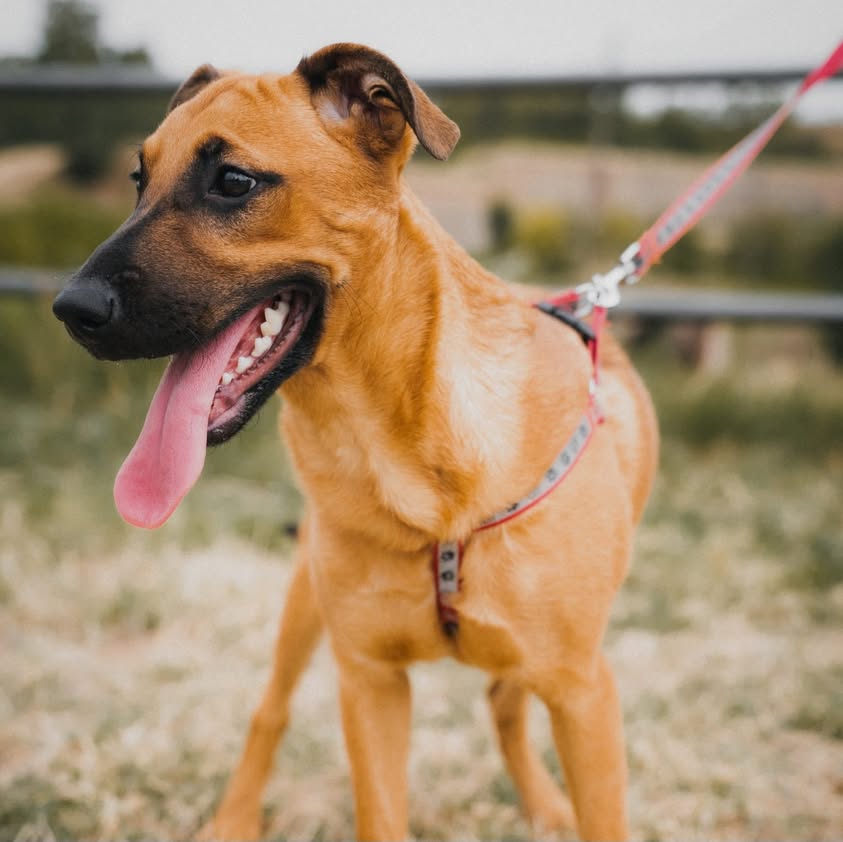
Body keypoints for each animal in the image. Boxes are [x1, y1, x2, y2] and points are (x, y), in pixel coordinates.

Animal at [52, 44, 658, 841]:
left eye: (233, 181)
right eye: (138, 180)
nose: (71, 309)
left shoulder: (582, 692)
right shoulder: (369, 684)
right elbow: (376, 808)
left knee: (502, 701)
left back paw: (543, 806)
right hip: (304, 605)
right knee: (269, 710)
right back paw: (234, 819)